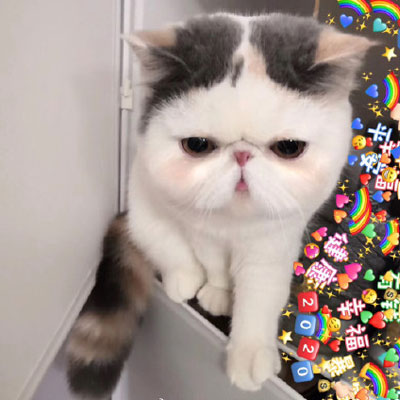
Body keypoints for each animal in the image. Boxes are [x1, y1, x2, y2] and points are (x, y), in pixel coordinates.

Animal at [66, 12, 373, 398]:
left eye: (288, 148)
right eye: (197, 145)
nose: (241, 155)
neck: (234, 225)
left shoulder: (272, 245)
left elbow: (259, 297)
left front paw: (250, 353)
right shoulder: (203, 233)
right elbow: (214, 266)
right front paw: (218, 292)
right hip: (145, 217)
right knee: (170, 254)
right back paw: (183, 281)